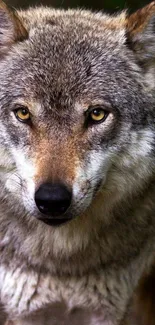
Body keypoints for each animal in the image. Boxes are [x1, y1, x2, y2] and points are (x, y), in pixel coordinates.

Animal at [0, 0, 155, 322]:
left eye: (97, 114)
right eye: (23, 113)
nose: (52, 199)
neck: (63, 266)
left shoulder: (110, 311)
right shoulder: (21, 311)